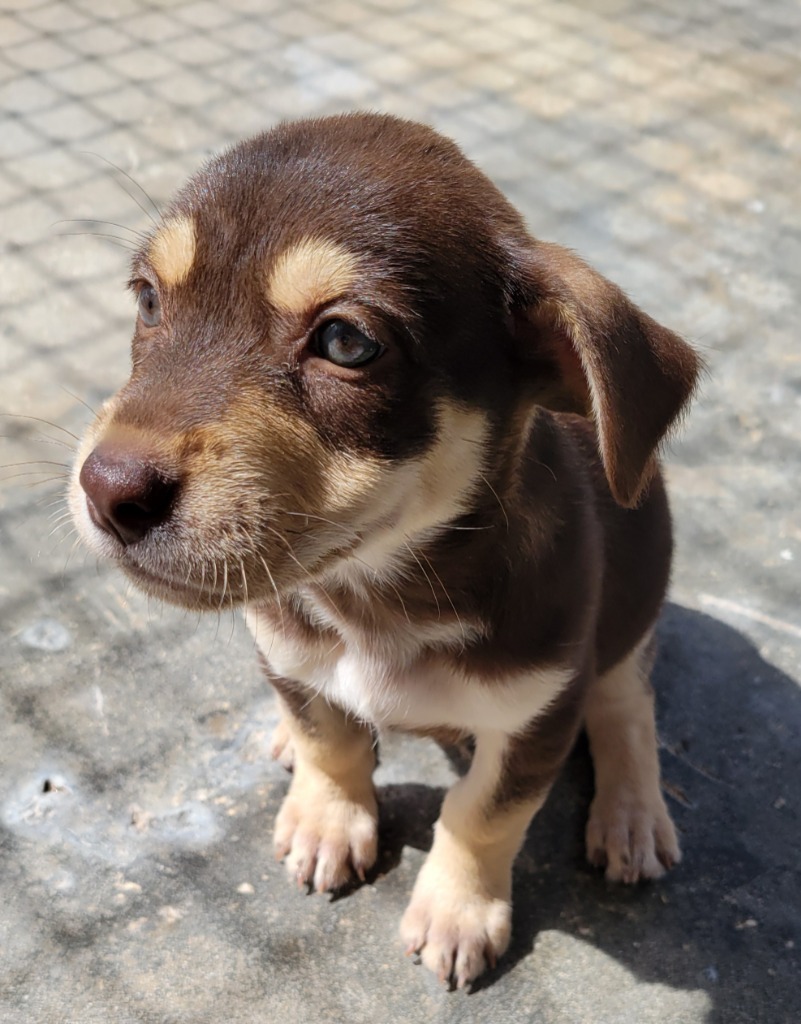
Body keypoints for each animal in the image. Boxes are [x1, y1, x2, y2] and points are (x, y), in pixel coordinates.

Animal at [70, 114, 704, 991]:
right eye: (149, 300)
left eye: (345, 342)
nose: (106, 490)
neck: (372, 599)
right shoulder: (286, 646)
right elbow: (329, 739)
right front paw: (327, 817)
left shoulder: (537, 716)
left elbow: (481, 815)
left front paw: (457, 910)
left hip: (635, 596)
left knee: (625, 701)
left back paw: (632, 812)